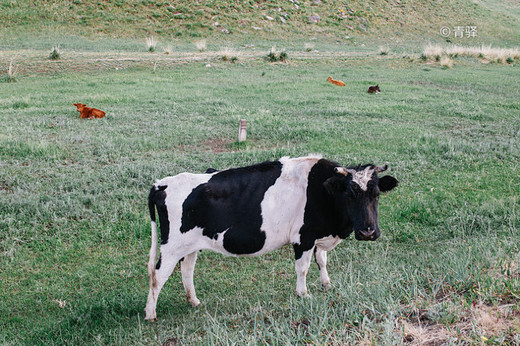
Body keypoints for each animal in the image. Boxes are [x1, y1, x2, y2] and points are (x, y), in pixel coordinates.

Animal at [145, 155, 398, 320]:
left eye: (376, 194)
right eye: (349, 194)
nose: (368, 232)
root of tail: (161, 183)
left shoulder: (318, 236)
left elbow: (322, 260)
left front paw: (326, 284)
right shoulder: (303, 237)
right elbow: (303, 267)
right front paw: (303, 294)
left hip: (189, 246)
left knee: (187, 270)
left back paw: (194, 301)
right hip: (171, 247)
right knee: (158, 275)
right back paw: (150, 314)